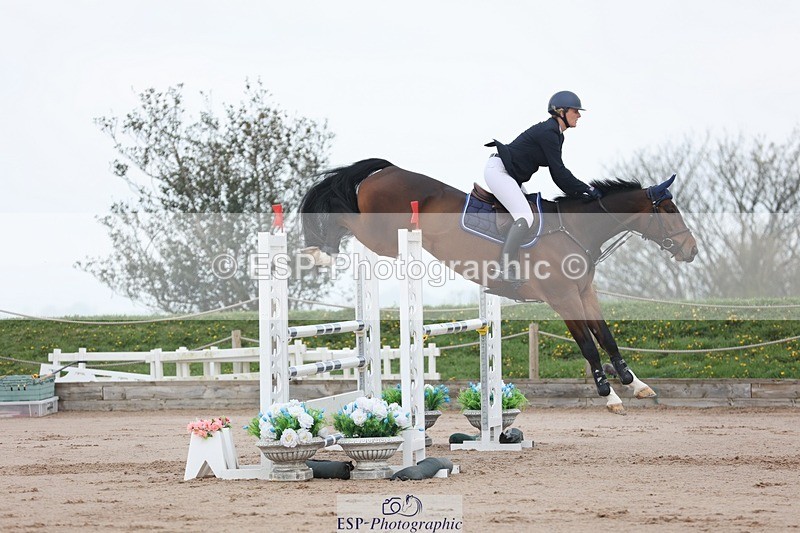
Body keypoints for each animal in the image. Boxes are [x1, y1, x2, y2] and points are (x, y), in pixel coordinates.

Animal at [299, 158, 698, 413]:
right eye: (669, 211)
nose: (691, 250)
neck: (576, 230)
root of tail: (388, 170)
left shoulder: (585, 293)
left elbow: (607, 336)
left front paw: (635, 384)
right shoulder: (562, 298)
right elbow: (588, 345)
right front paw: (609, 395)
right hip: (381, 236)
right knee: (343, 216)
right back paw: (318, 253)